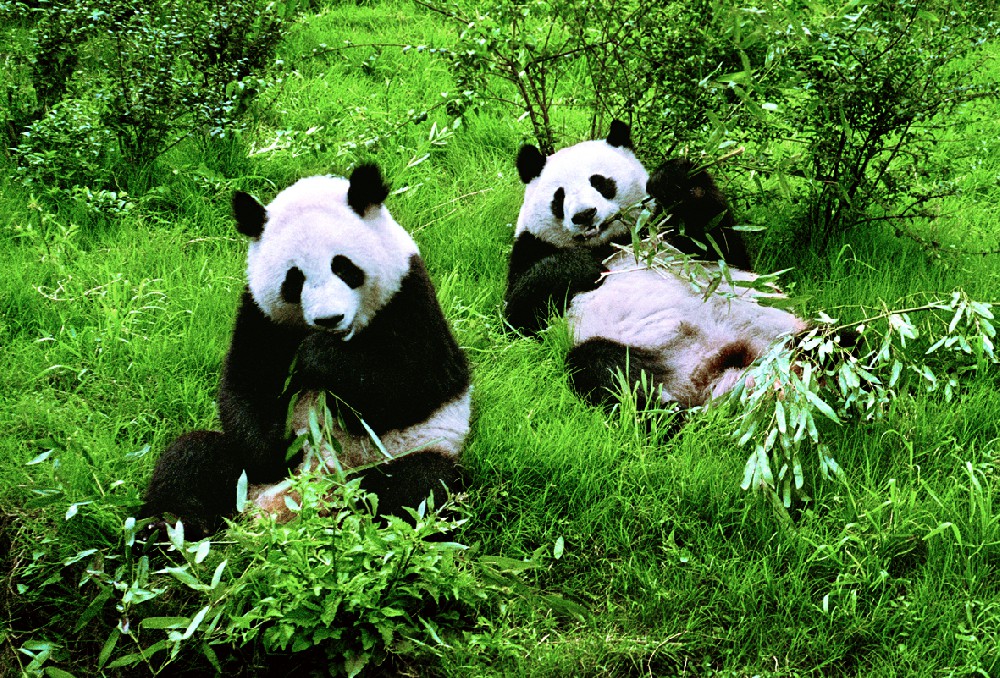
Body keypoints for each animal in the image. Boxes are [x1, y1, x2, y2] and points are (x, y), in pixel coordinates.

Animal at [139, 164, 471, 538]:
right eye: (294, 279)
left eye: (343, 267)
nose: (330, 319)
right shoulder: (260, 315)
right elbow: (245, 384)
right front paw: (277, 445)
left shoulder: (409, 296)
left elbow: (418, 383)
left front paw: (317, 359)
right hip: (244, 480)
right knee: (191, 460)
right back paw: (167, 533)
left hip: (400, 456)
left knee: (419, 485)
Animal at [505, 121, 806, 411]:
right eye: (559, 196)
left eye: (600, 182)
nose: (584, 215)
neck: (613, 241)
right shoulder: (530, 249)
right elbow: (518, 317)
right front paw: (585, 266)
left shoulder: (673, 235)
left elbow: (722, 245)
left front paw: (673, 179)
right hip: (635, 348)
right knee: (606, 369)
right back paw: (668, 416)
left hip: (780, 328)